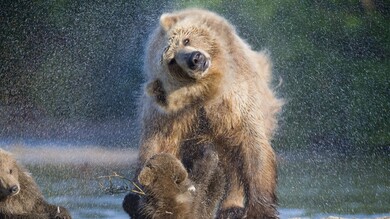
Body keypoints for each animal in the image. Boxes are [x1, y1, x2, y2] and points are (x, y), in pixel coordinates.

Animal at [138, 8, 284, 219]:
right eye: (172, 61)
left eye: (186, 40)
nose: (195, 59)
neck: (206, 94)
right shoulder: (169, 119)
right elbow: (158, 148)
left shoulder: (236, 103)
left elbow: (253, 150)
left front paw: (260, 210)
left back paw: (231, 207)